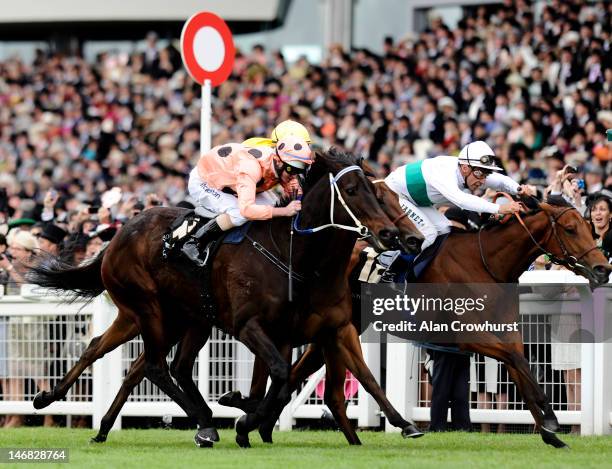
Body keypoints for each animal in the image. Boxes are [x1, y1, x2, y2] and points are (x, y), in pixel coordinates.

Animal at [219, 196, 608, 448]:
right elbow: (517, 362)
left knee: (303, 370)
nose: (603, 268)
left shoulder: (504, 332)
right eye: (570, 228)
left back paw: (262, 424)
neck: (486, 264)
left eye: (591, 226)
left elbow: (521, 366)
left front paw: (549, 428)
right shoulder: (463, 338)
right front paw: (551, 422)